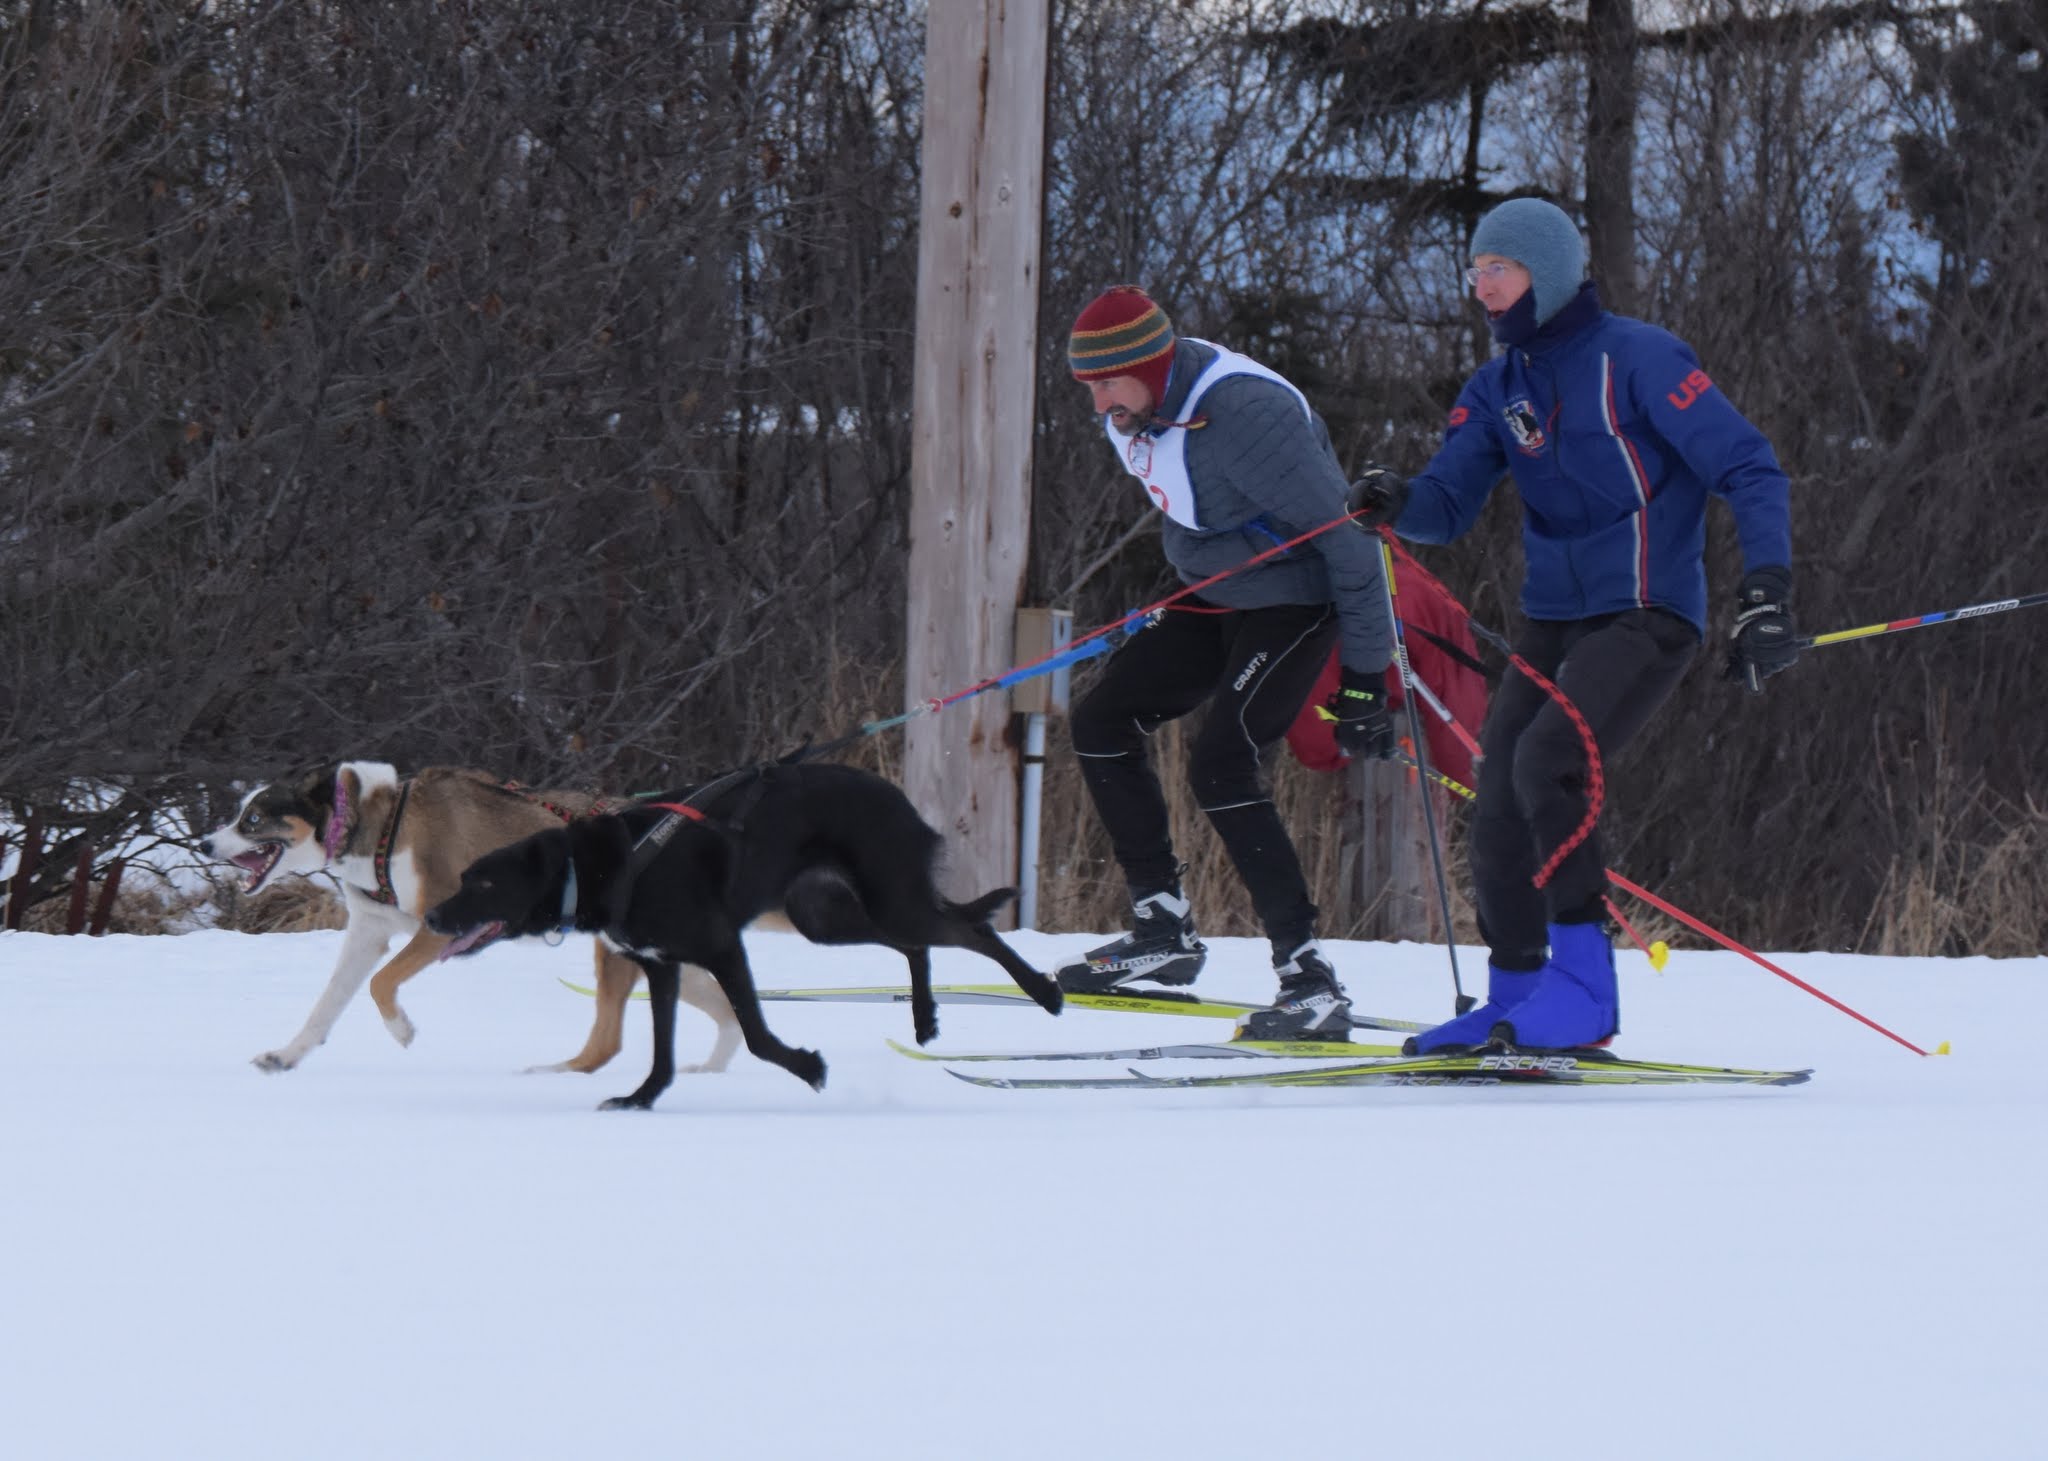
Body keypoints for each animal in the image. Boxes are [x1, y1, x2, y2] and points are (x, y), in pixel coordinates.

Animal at [203, 762, 733, 1073]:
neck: (380, 829)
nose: (206, 843)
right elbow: (326, 1005)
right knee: (725, 1009)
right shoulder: (368, 932)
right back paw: (711, 1069)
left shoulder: (436, 929)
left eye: (252, 820)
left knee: (609, 1042)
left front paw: (401, 1029)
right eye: (240, 814)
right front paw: (286, 1055)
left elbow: (380, 983)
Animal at [423, 762, 1064, 1106]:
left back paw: (1046, 992)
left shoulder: (722, 948)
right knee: (917, 943)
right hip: (826, 918)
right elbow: (662, 1050)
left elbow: (755, 1035)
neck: (608, 865)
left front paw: (809, 1068)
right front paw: (641, 1099)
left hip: (890, 900)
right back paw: (925, 1019)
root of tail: (901, 799)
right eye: (465, 877)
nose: (431, 918)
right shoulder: (662, 964)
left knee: (972, 928)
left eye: (482, 883)